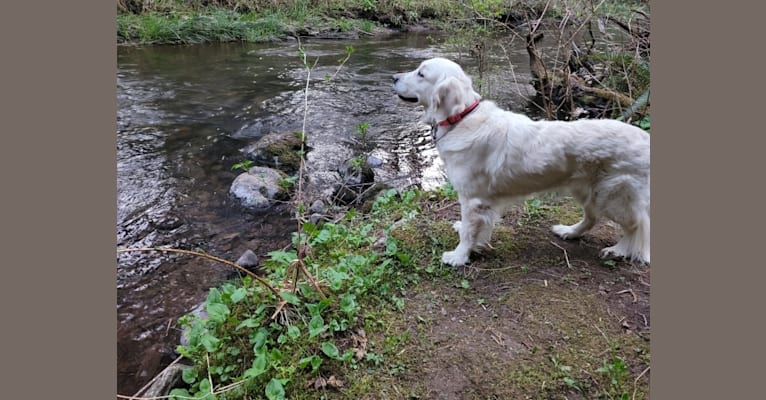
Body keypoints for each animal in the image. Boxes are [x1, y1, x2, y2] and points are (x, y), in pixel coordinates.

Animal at [392, 57, 652, 268]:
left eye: (421, 73)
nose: (393, 77)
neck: (462, 117)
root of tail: (645, 138)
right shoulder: (483, 203)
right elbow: (475, 228)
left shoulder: (472, 199)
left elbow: (468, 232)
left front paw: (459, 256)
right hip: (586, 189)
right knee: (593, 218)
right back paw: (569, 231)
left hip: (614, 195)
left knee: (636, 226)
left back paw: (618, 250)